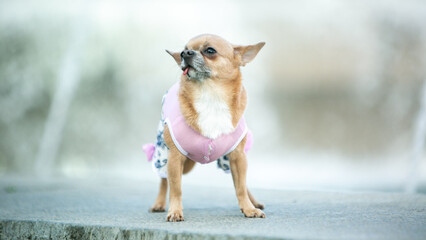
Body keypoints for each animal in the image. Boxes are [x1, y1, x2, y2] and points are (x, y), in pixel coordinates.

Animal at [143, 33, 264, 221]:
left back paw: (254, 202)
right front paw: (175, 211)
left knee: (242, 183)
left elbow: (241, 187)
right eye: (184, 49)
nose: (185, 53)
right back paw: (159, 203)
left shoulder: (238, 157)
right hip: (164, 154)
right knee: (164, 180)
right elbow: (176, 188)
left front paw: (249, 208)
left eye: (210, 50)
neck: (210, 96)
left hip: (227, 161)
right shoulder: (175, 158)